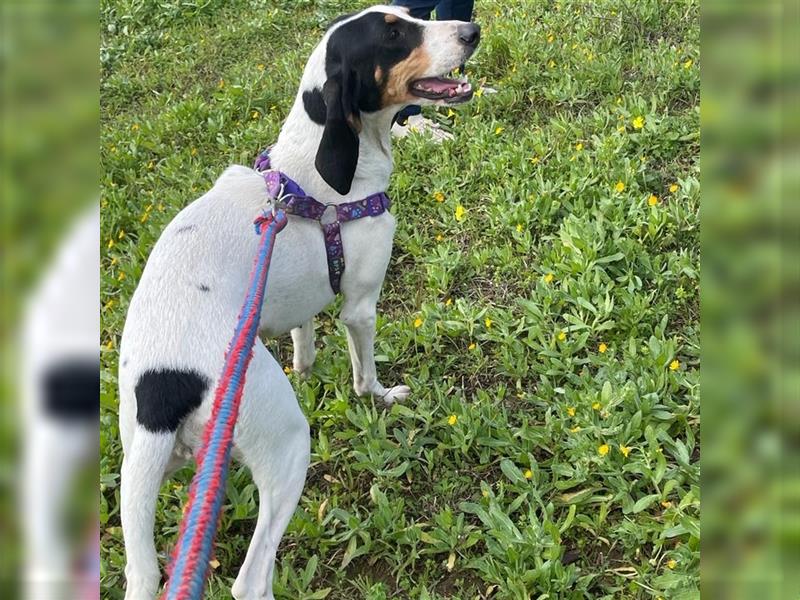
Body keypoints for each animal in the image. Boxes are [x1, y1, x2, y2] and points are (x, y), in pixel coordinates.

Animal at [119, 5, 482, 600]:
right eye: (393, 35)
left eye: (408, 14)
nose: (473, 31)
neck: (311, 171)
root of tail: (163, 383)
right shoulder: (360, 305)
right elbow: (364, 376)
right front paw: (382, 396)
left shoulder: (295, 305)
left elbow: (304, 344)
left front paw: (307, 371)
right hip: (287, 446)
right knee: (250, 579)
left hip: (144, 474)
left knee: (147, 568)